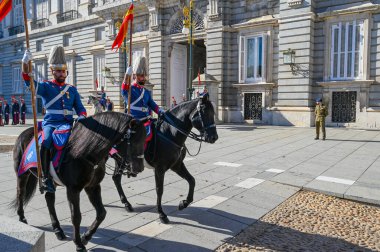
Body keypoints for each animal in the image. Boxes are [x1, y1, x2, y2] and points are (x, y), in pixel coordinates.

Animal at [10, 112, 147, 252]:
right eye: (133, 141)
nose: (140, 168)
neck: (83, 151)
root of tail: (24, 133)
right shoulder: (73, 189)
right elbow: (76, 217)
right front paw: (78, 244)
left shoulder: (93, 187)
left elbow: (101, 213)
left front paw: (86, 236)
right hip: (22, 174)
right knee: (21, 193)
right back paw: (22, 217)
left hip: (51, 182)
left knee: (49, 199)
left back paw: (58, 229)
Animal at [111, 94, 218, 222]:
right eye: (205, 112)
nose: (214, 137)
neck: (170, 132)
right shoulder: (159, 168)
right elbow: (159, 189)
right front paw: (161, 214)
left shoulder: (177, 165)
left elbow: (192, 180)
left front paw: (184, 203)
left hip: (120, 159)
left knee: (116, 178)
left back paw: (126, 203)